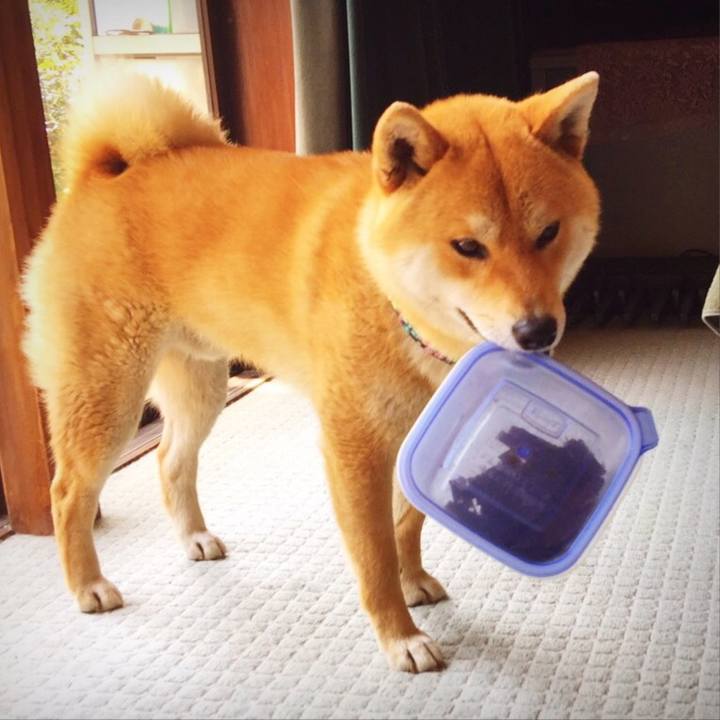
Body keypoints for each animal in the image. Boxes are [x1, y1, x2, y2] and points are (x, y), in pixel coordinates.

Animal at [21, 71, 600, 672]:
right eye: (467, 247)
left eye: (548, 233)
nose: (538, 331)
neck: (386, 293)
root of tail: (102, 172)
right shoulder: (355, 446)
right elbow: (375, 554)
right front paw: (401, 635)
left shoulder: (414, 436)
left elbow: (405, 526)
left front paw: (414, 581)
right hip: (108, 395)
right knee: (68, 492)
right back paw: (87, 585)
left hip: (201, 385)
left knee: (170, 461)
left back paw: (194, 539)